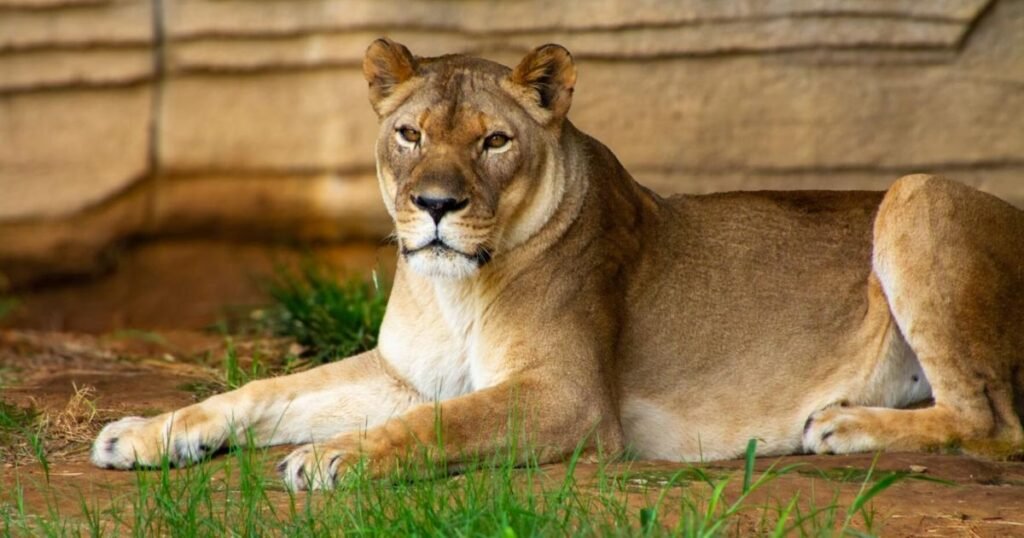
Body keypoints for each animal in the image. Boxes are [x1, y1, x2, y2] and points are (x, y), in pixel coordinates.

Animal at [91, 39, 1024, 490]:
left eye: (495, 142)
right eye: (410, 133)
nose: (435, 206)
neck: (453, 291)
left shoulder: (570, 399)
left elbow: (441, 426)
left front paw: (335, 458)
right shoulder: (403, 374)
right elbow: (265, 392)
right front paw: (143, 434)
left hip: (914, 193)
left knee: (993, 419)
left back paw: (842, 426)